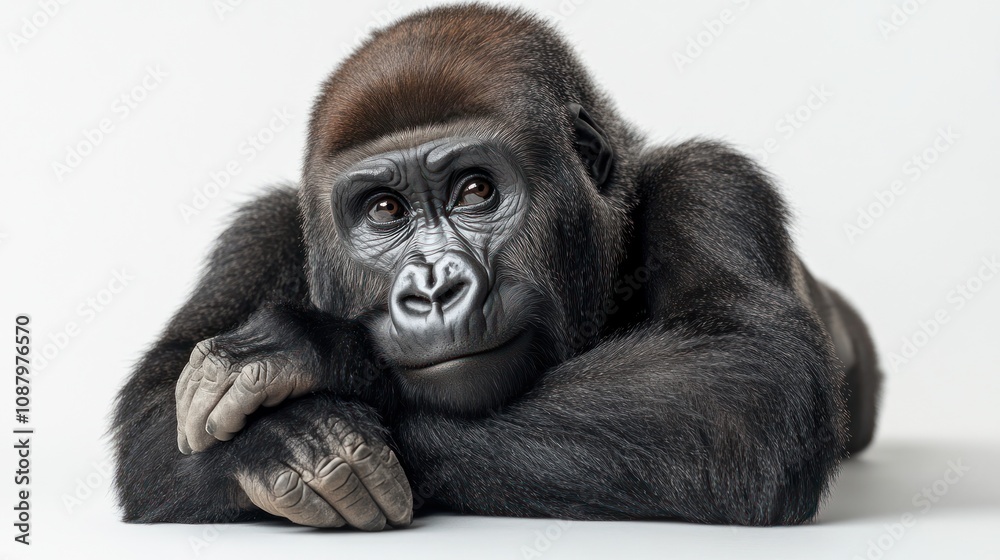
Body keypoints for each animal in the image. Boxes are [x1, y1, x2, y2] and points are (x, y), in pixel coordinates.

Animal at [112, 4, 880, 530]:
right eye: (385, 209)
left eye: (476, 190)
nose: (433, 288)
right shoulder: (265, 229)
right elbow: (156, 406)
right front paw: (281, 441)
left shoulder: (713, 184)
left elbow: (749, 384)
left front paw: (324, 351)